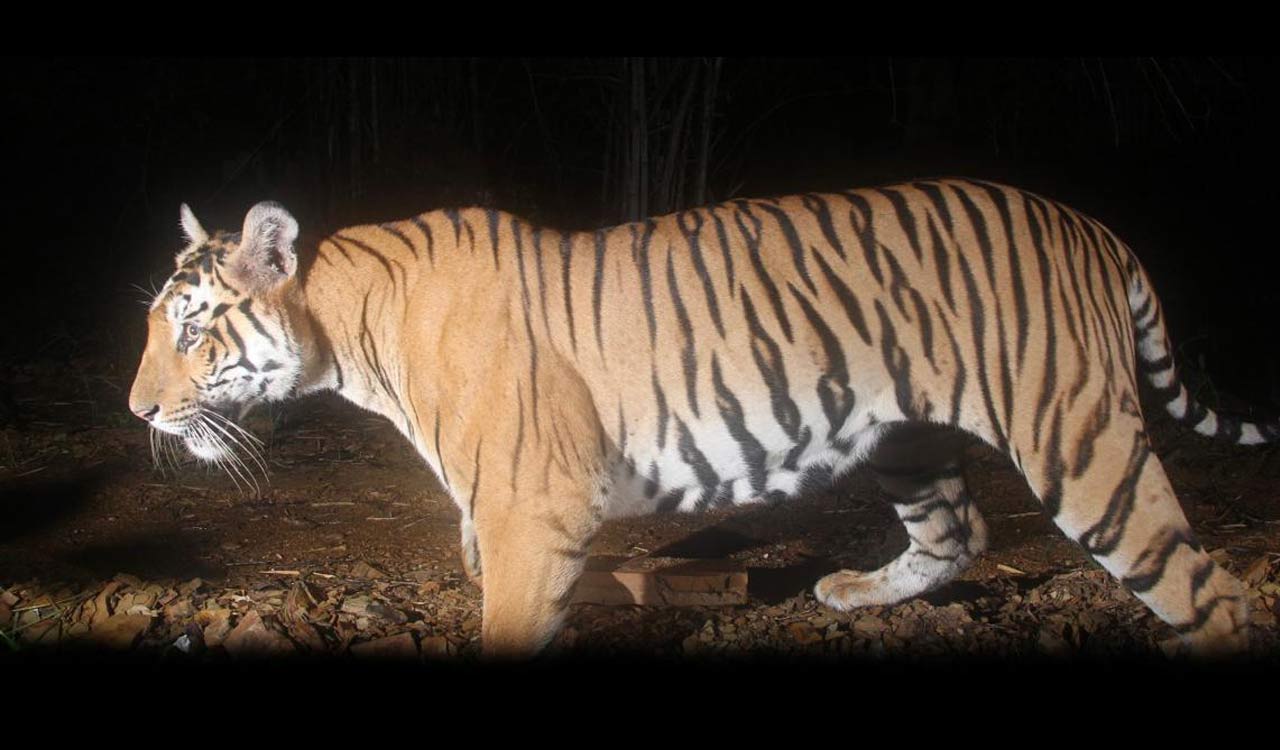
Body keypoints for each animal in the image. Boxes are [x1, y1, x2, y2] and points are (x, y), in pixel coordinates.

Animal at [129, 178, 1272, 658]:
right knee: (960, 532)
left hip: (1080, 441)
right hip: (905, 438)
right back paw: (851, 592)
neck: (347, 327)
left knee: (1207, 592)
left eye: (188, 328)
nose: (137, 407)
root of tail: (1093, 225)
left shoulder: (530, 515)